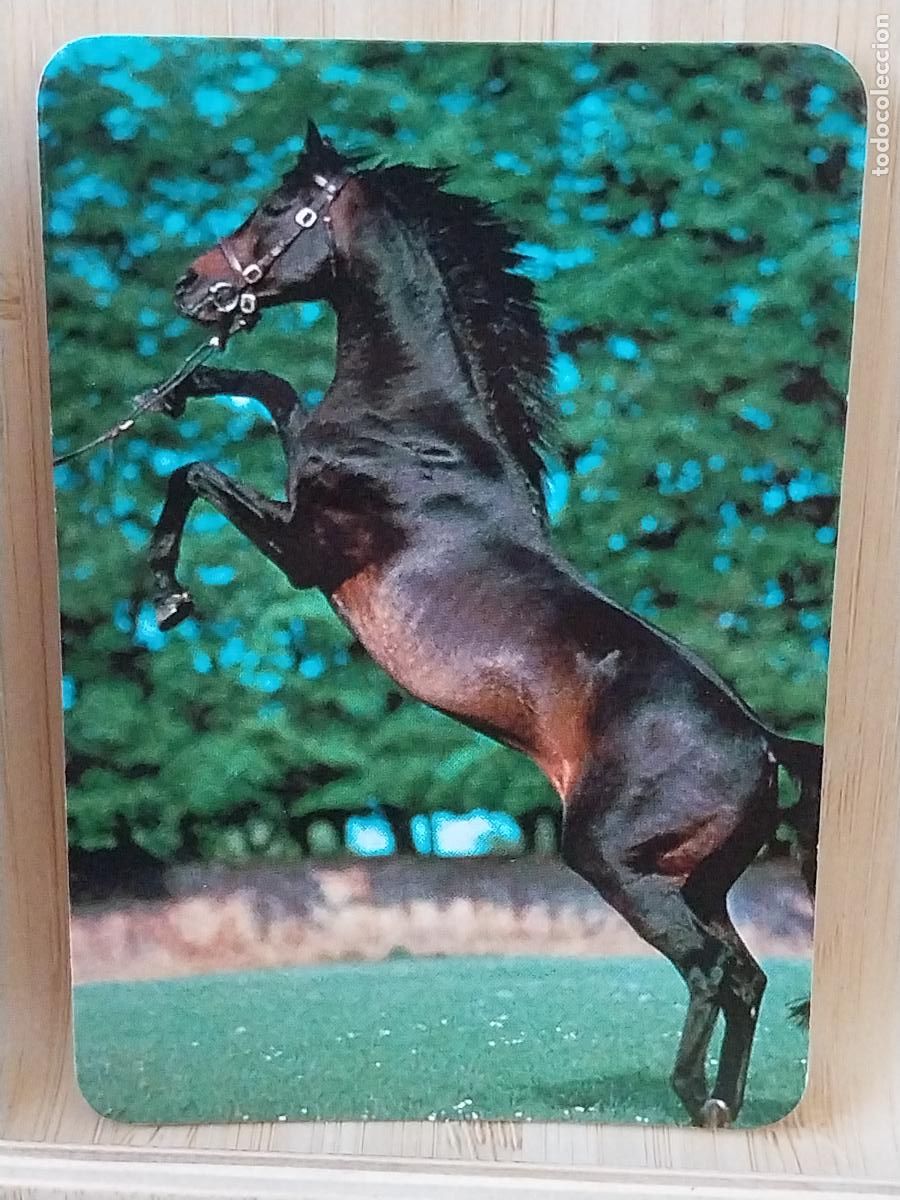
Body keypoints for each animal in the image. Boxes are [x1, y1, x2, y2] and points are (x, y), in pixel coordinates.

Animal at [156, 121, 822, 1127]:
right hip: (698, 880)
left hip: (616, 862)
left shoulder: (307, 552)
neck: (419, 433)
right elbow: (275, 393)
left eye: (277, 207)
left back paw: (687, 1093)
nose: (192, 285)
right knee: (744, 975)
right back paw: (717, 1108)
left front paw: (166, 591)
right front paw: (186, 390)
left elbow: (192, 472)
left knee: (712, 972)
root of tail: (767, 745)